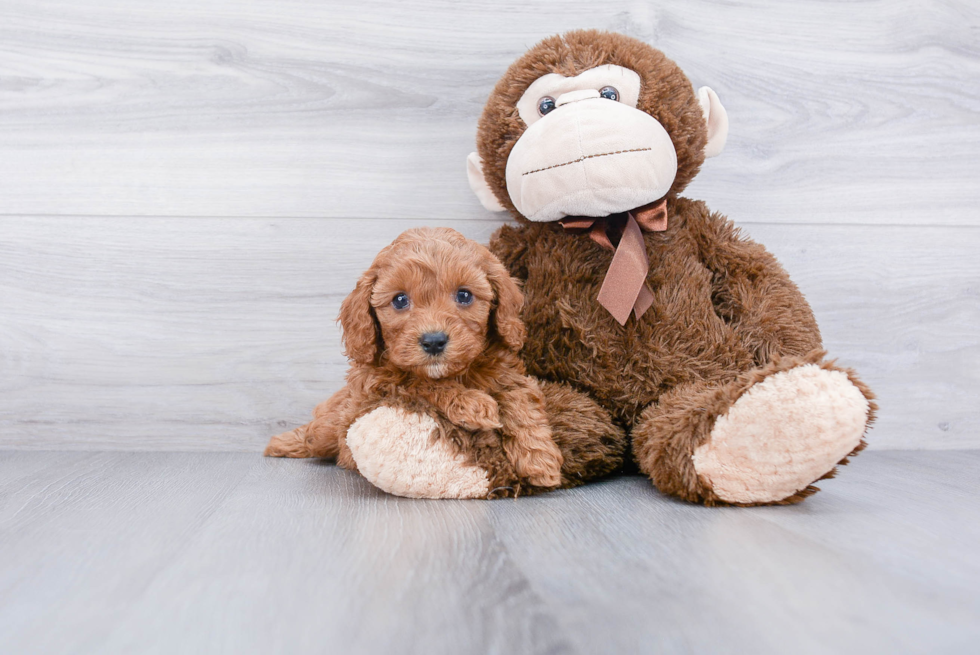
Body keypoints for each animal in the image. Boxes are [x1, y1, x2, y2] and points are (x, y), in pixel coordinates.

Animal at [268, 226, 564, 498]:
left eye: (464, 295)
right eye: (400, 300)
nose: (433, 341)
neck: (454, 373)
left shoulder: (508, 373)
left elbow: (520, 399)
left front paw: (540, 460)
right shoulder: (373, 390)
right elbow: (418, 383)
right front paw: (472, 404)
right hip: (329, 426)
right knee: (315, 433)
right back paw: (282, 442)